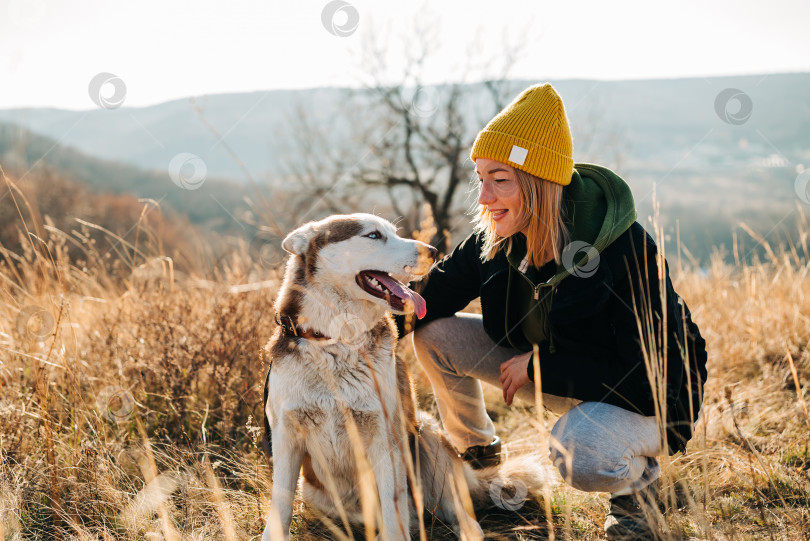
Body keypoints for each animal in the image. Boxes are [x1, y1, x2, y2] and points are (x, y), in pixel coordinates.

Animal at [266, 213, 540, 536]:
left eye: (393, 233)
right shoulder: (286, 436)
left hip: (427, 434)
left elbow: (392, 508)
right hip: (317, 495)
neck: (337, 341)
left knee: (458, 513)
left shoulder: (386, 434)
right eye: (373, 235)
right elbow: (280, 506)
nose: (434, 252)